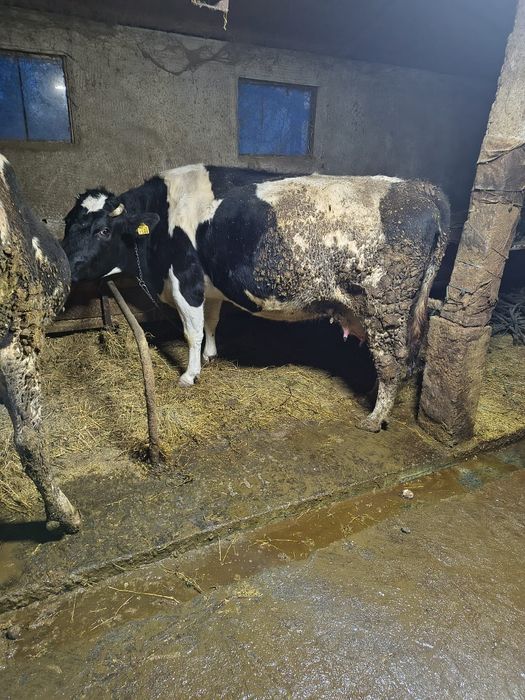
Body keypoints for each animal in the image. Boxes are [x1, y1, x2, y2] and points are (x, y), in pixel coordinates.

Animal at [63, 164, 450, 432]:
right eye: (69, 223)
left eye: (103, 230)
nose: (65, 264)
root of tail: (422, 188)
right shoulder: (211, 286)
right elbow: (212, 322)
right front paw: (211, 355)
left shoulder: (185, 281)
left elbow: (192, 331)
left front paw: (190, 374)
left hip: (386, 305)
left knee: (393, 359)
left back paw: (374, 417)